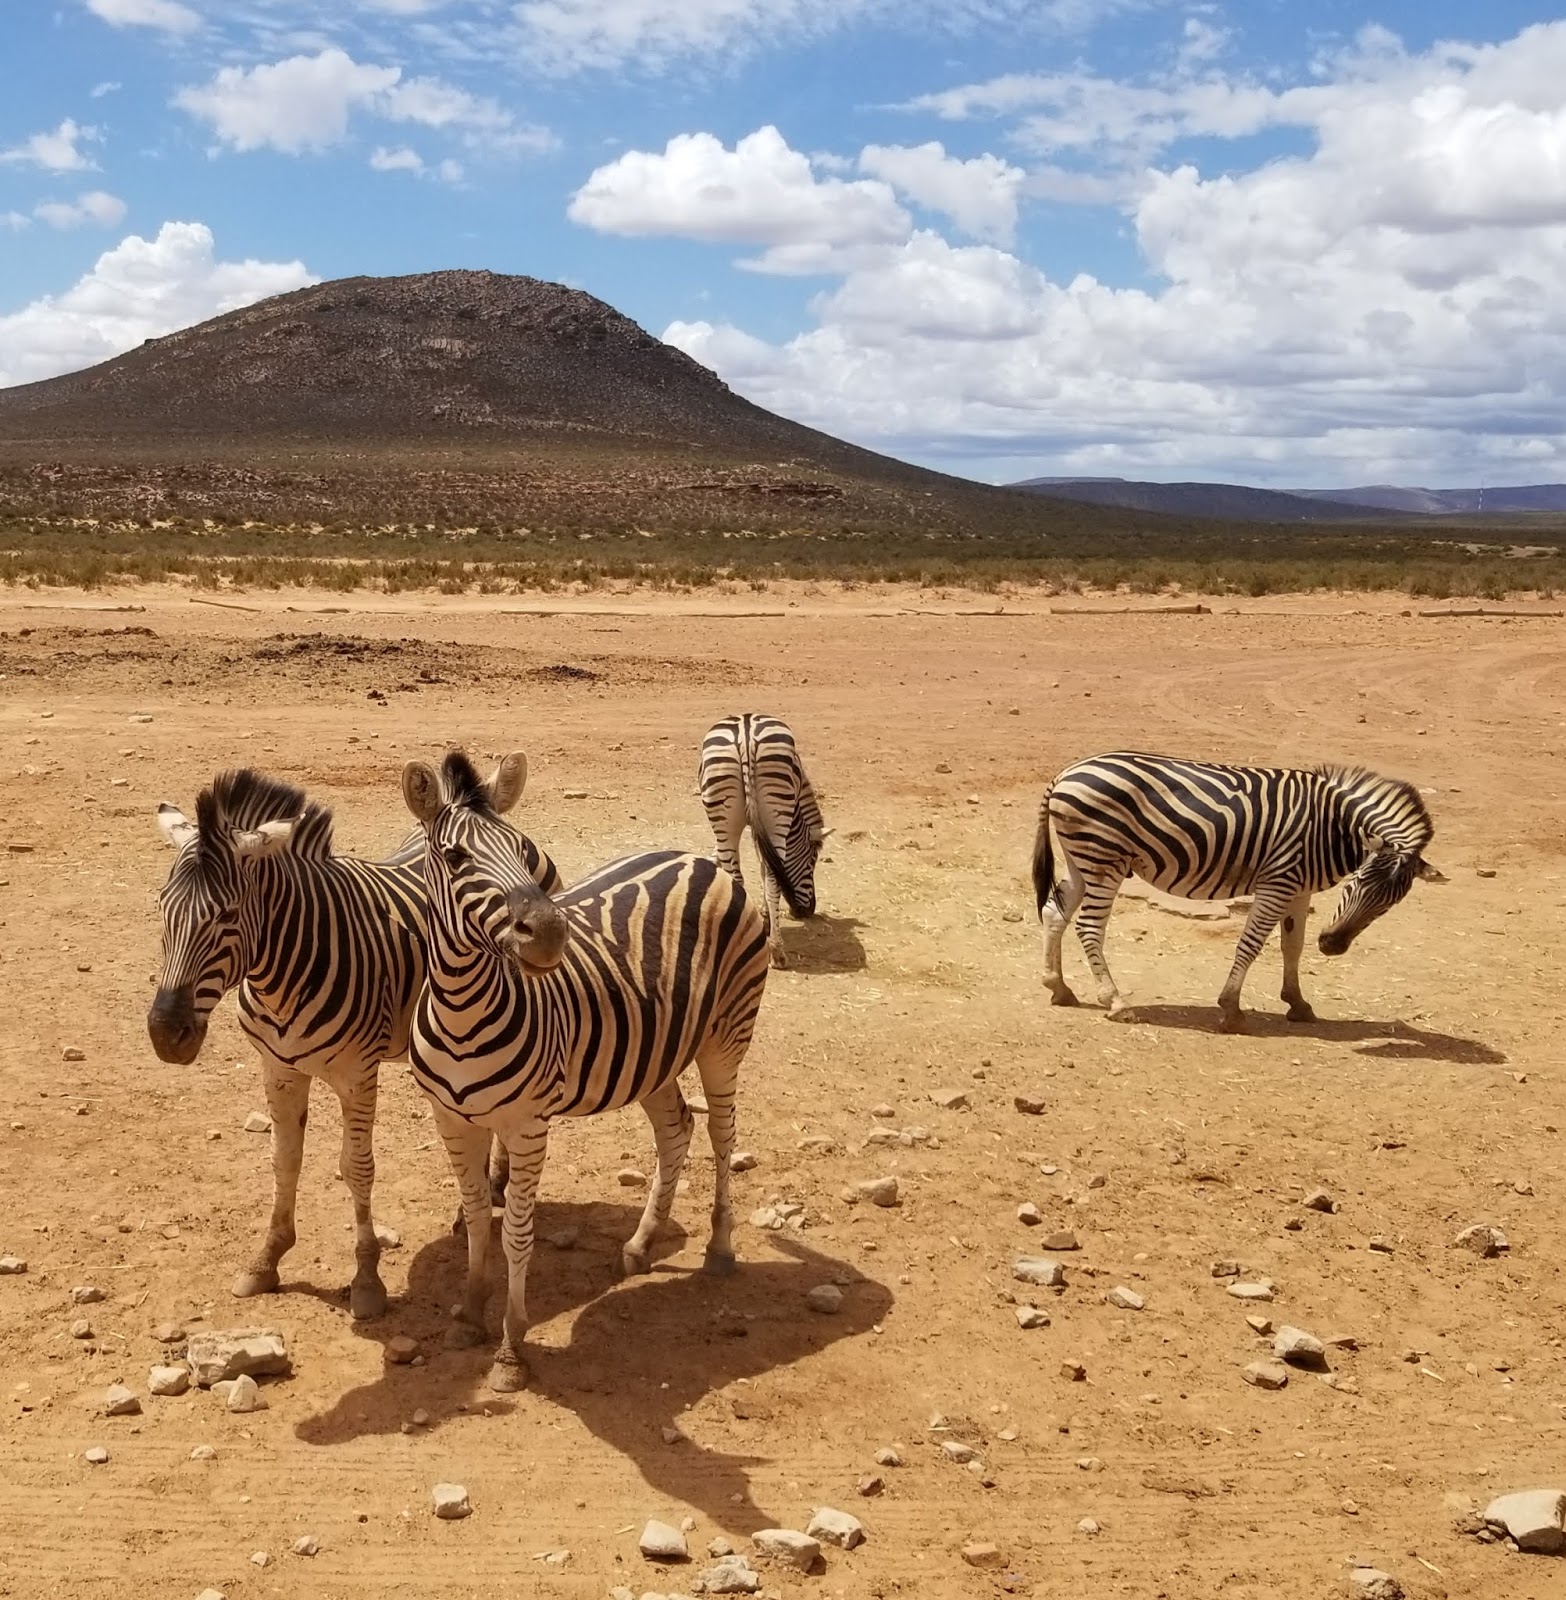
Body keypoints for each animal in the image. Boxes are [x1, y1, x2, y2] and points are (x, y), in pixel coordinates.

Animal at [146, 759, 557, 1317]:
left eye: (227, 916)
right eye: (160, 906)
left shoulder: (357, 1073)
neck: (283, 975)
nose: (166, 1035)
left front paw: (366, 1279)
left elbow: (356, 1168)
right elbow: (284, 1159)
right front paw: (267, 1259)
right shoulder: (278, 1067)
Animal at [402, 749, 770, 1393]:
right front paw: (469, 1315)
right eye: (454, 858)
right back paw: (642, 1245)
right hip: (655, 1051)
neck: (461, 1012)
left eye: (524, 849)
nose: (551, 933)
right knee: (676, 1129)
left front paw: (510, 1350)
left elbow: (515, 1232)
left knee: (723, 1135)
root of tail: (704, 861)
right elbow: (475, 1219)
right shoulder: (450, 1118)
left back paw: (721, 1249)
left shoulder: (527, 1126)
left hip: (726, 1036)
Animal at [699, 713, 830, 967]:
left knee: (744, 877)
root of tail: (746, 732)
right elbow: (762, 866)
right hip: (775, 813)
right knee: (770, 878)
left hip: (728, 812)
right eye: (812, 861)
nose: (807, 911)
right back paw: (776, 950)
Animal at [1032, 751, 1446, 1032]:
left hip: (1082, 859)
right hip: (1105, 859)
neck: (1332, 825)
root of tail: (1067, 772)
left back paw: (1059, 987)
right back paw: (1116, 1002)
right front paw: (1230, 1008)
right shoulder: (1278, 881)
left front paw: (1297, 1003)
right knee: (1088, 927)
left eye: (1388, 906)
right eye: (1357, 882)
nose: (1332, 946)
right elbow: (1251, 944)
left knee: (1054, 912)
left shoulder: (1300, 889)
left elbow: (1292, 945)